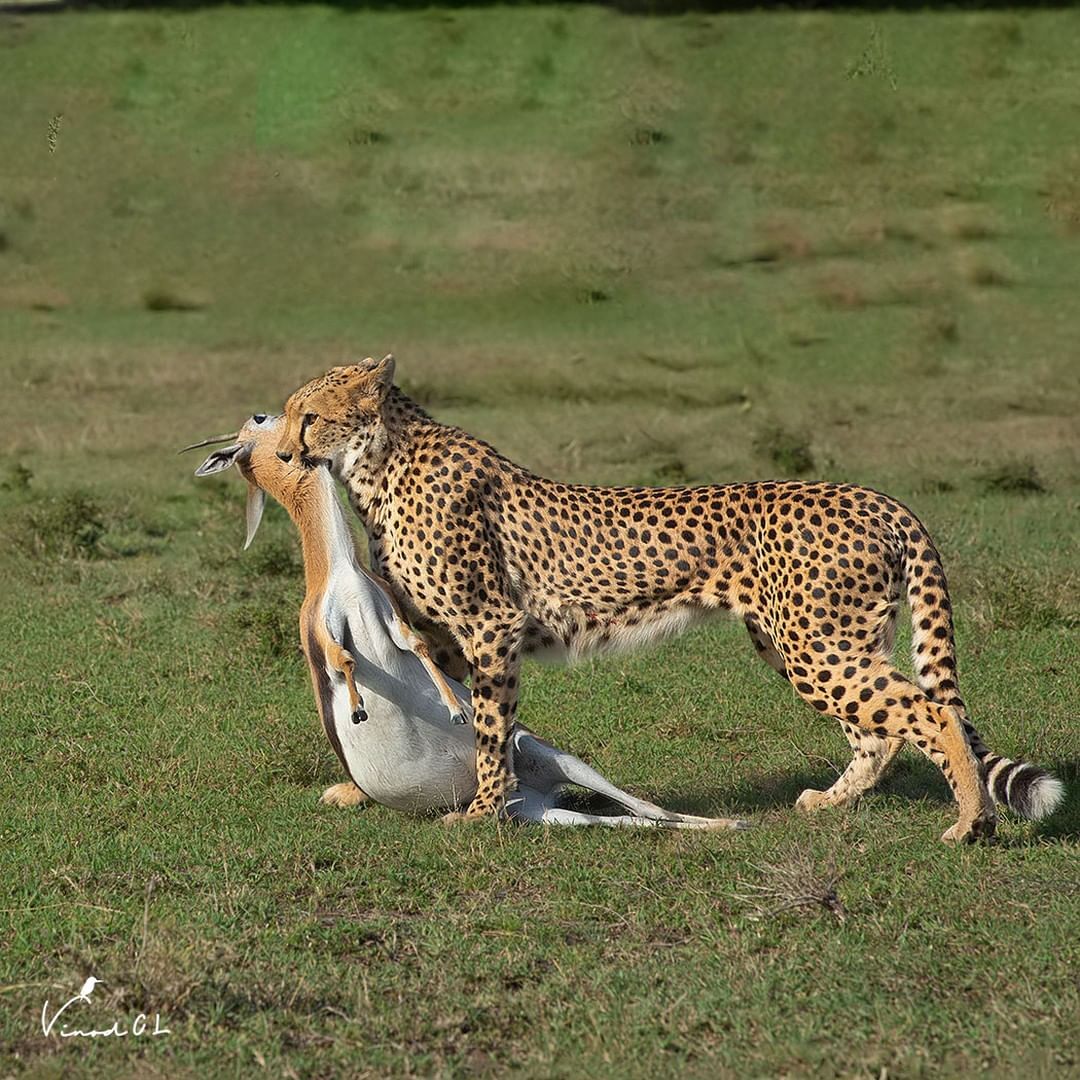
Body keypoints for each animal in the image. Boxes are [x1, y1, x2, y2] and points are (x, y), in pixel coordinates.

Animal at [276, 356, 1062, 842]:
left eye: (307, 416)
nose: (281, 453)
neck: (379, 463)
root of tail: (874, 495)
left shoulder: (490, 627)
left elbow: (491, 732)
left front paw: (483, 812)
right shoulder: (441, 636)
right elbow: (447, 713)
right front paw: (371, 792)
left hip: (816, 643)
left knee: (928, 711)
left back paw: (971, 821)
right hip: (813, 639)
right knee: (883, 726)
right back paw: (832, 801)